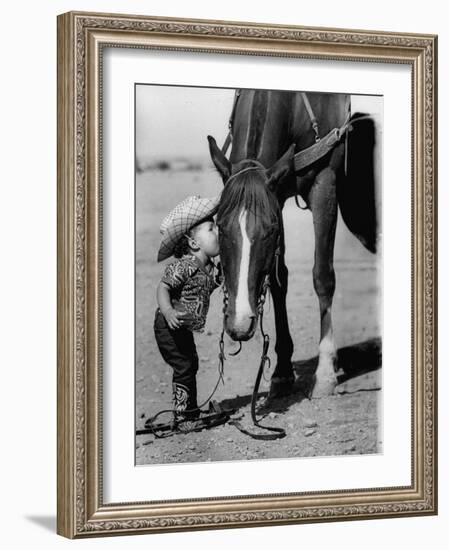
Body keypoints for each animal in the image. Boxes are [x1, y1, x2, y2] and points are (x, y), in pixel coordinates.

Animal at [208, 88, 376, 398]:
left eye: (269, 229)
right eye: (220, 226)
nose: (240, 323)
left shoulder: (324, 183)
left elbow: (323, 277)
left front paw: (325, 373)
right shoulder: (278, 193)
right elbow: (278, 280)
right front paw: (282, 371)